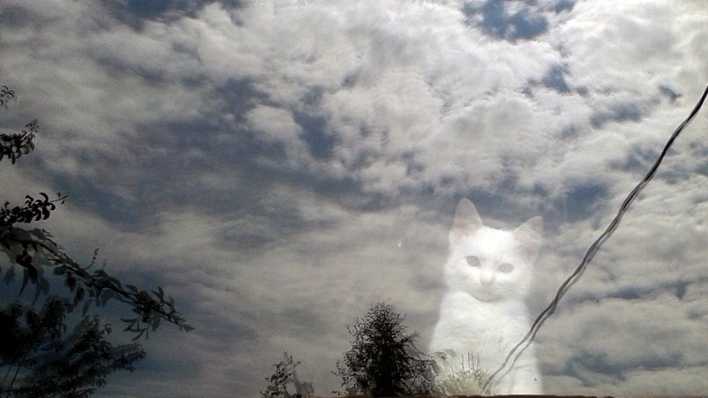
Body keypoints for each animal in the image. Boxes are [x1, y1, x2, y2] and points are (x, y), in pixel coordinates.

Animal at [428, 199, 544, 394]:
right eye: (473, 261)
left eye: (505, 268)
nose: (486, 281)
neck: (485, 310)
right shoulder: (450, 350)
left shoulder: (520, 359)